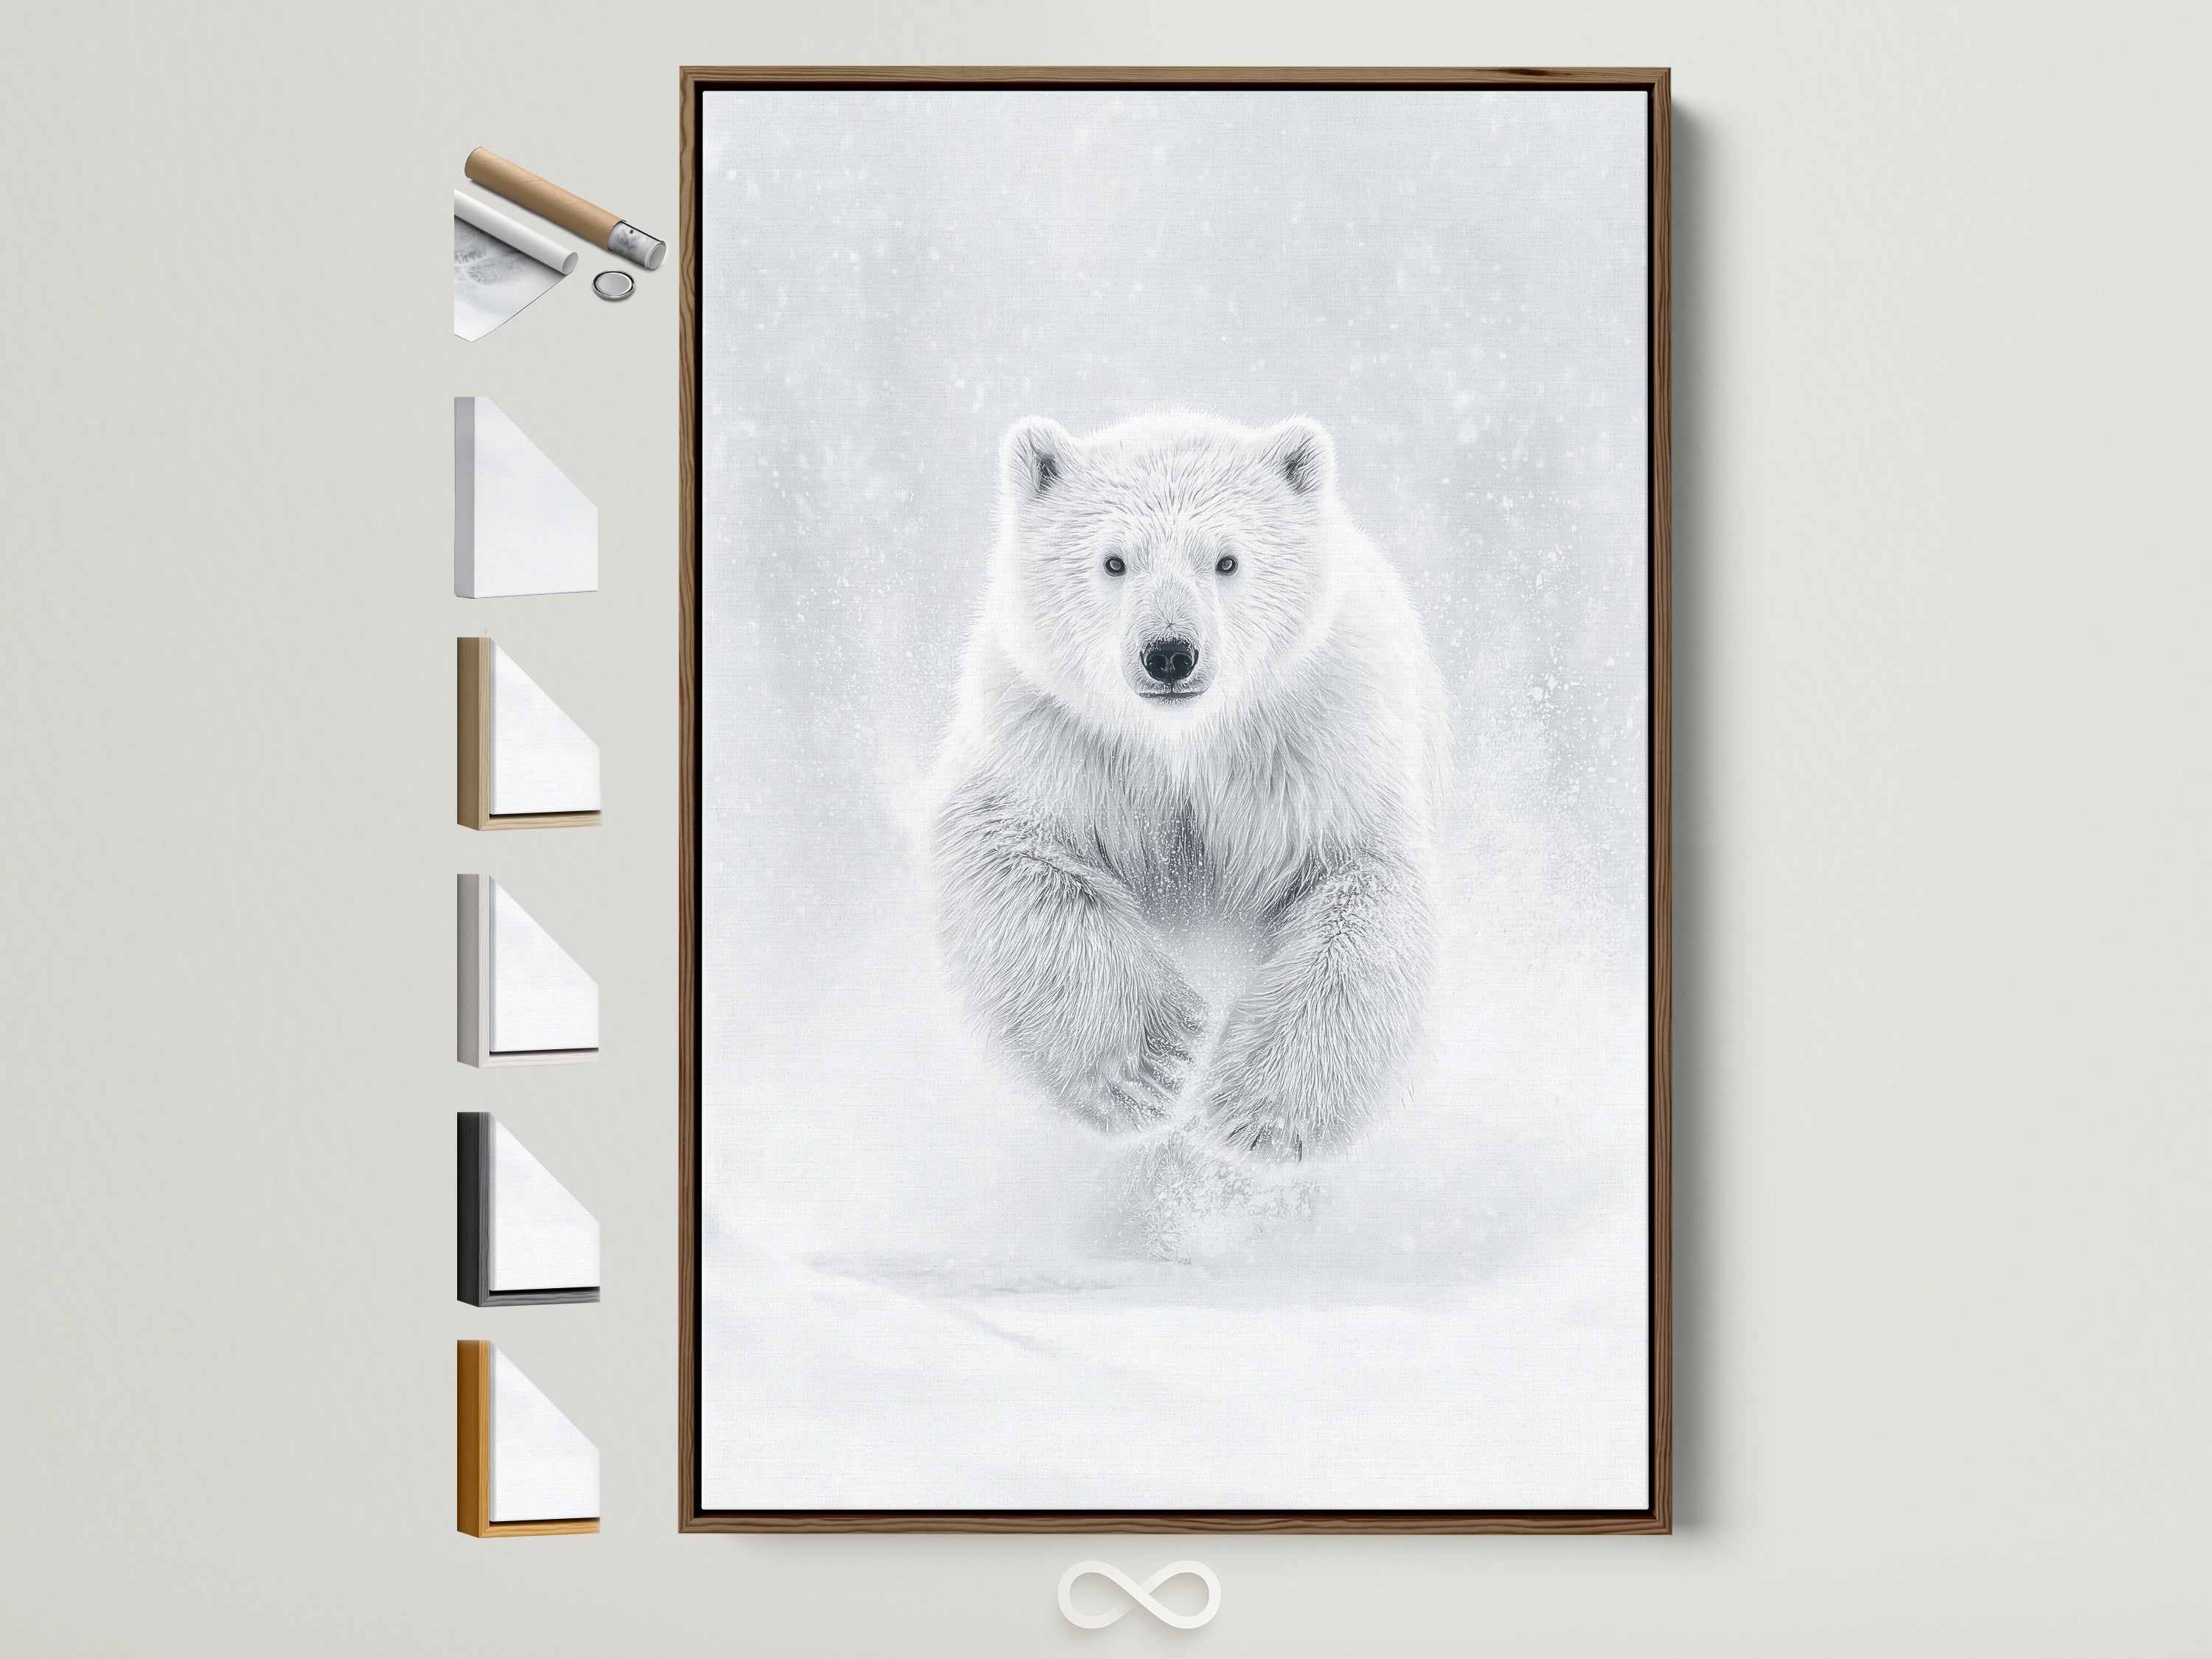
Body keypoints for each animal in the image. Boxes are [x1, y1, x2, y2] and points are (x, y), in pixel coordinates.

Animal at [930, 412, 1450, 1164]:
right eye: (1114, 561)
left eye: (1227, 560)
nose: (1170, 653)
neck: (1183, 745)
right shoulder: (1055, 737)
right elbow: (1009, 857)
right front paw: (1153, 1066)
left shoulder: (1317, 742)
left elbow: (1361, 893)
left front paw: (1259, 1118)